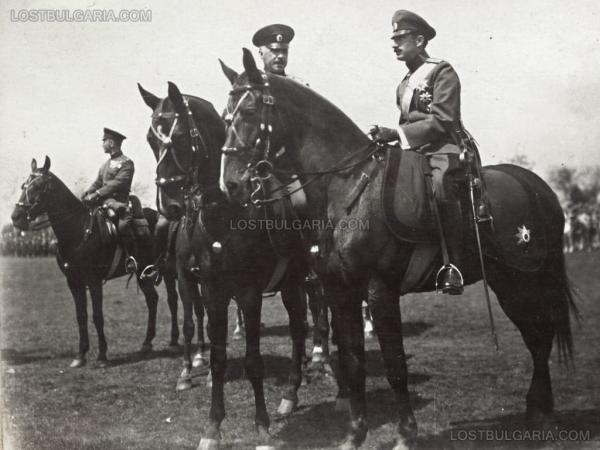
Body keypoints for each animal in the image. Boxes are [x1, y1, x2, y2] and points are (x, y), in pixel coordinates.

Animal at [10, 156, 179, 368]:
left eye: (39, 186)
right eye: (24, 185)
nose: (16, 217)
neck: (78, 230)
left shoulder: (94, 281)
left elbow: (97, 316)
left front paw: (102, 356)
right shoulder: (74, 281)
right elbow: (81, 316)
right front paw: (80, 356)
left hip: (168, 270)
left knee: (172, 300)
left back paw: (174, 341)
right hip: (143, 273)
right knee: (153, 300)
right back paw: (147, 344)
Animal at [137, 81, 336, 442]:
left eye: (182, 136)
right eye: (150, 138)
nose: (168, 205)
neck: (226, 214)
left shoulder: (248, 294)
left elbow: (254, 360)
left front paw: (261, 423)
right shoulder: (211, 290)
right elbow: (216, 356)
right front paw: (212, 426)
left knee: (316, 321)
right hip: (291, 284)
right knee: (300, 327)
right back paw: (291, 392)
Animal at [218, 47, 580, 448]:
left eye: (250, 111)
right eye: (224, 114)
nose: (231, 184)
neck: (348, 186)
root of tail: (536, 185)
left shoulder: (380, 292)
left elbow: (395, 365)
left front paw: (406, 434)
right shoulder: (341, 292)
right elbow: (354, 363)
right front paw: (354, 433)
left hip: (524, 281)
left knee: (540, 338)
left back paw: (542, 414)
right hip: (507, 282)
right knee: (537, 337)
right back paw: (537, 411)